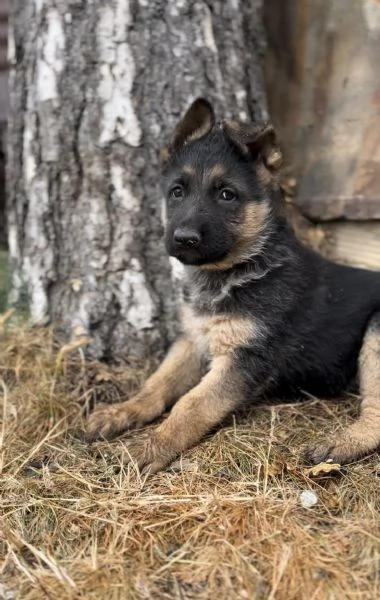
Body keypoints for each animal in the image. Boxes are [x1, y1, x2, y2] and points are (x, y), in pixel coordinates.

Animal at [86, 98, 380, 474]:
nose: (184, 238)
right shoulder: (193, 339)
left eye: (227, 195)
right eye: (177, 192)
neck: (237, 269)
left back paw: (338, 445)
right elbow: (158, 382)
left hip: (377, 332)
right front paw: (123, 410)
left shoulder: (244, 358)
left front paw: (153, 445)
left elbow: (191, 404)